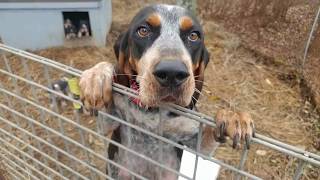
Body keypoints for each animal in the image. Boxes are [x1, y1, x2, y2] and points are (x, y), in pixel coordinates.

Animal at [79, 3, 254, 179]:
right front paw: (96, 76)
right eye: (143, 30)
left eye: (194, 35)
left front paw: (233, 116)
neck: (153, 112)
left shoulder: (198, 144)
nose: (172, 73)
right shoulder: (107, 125)